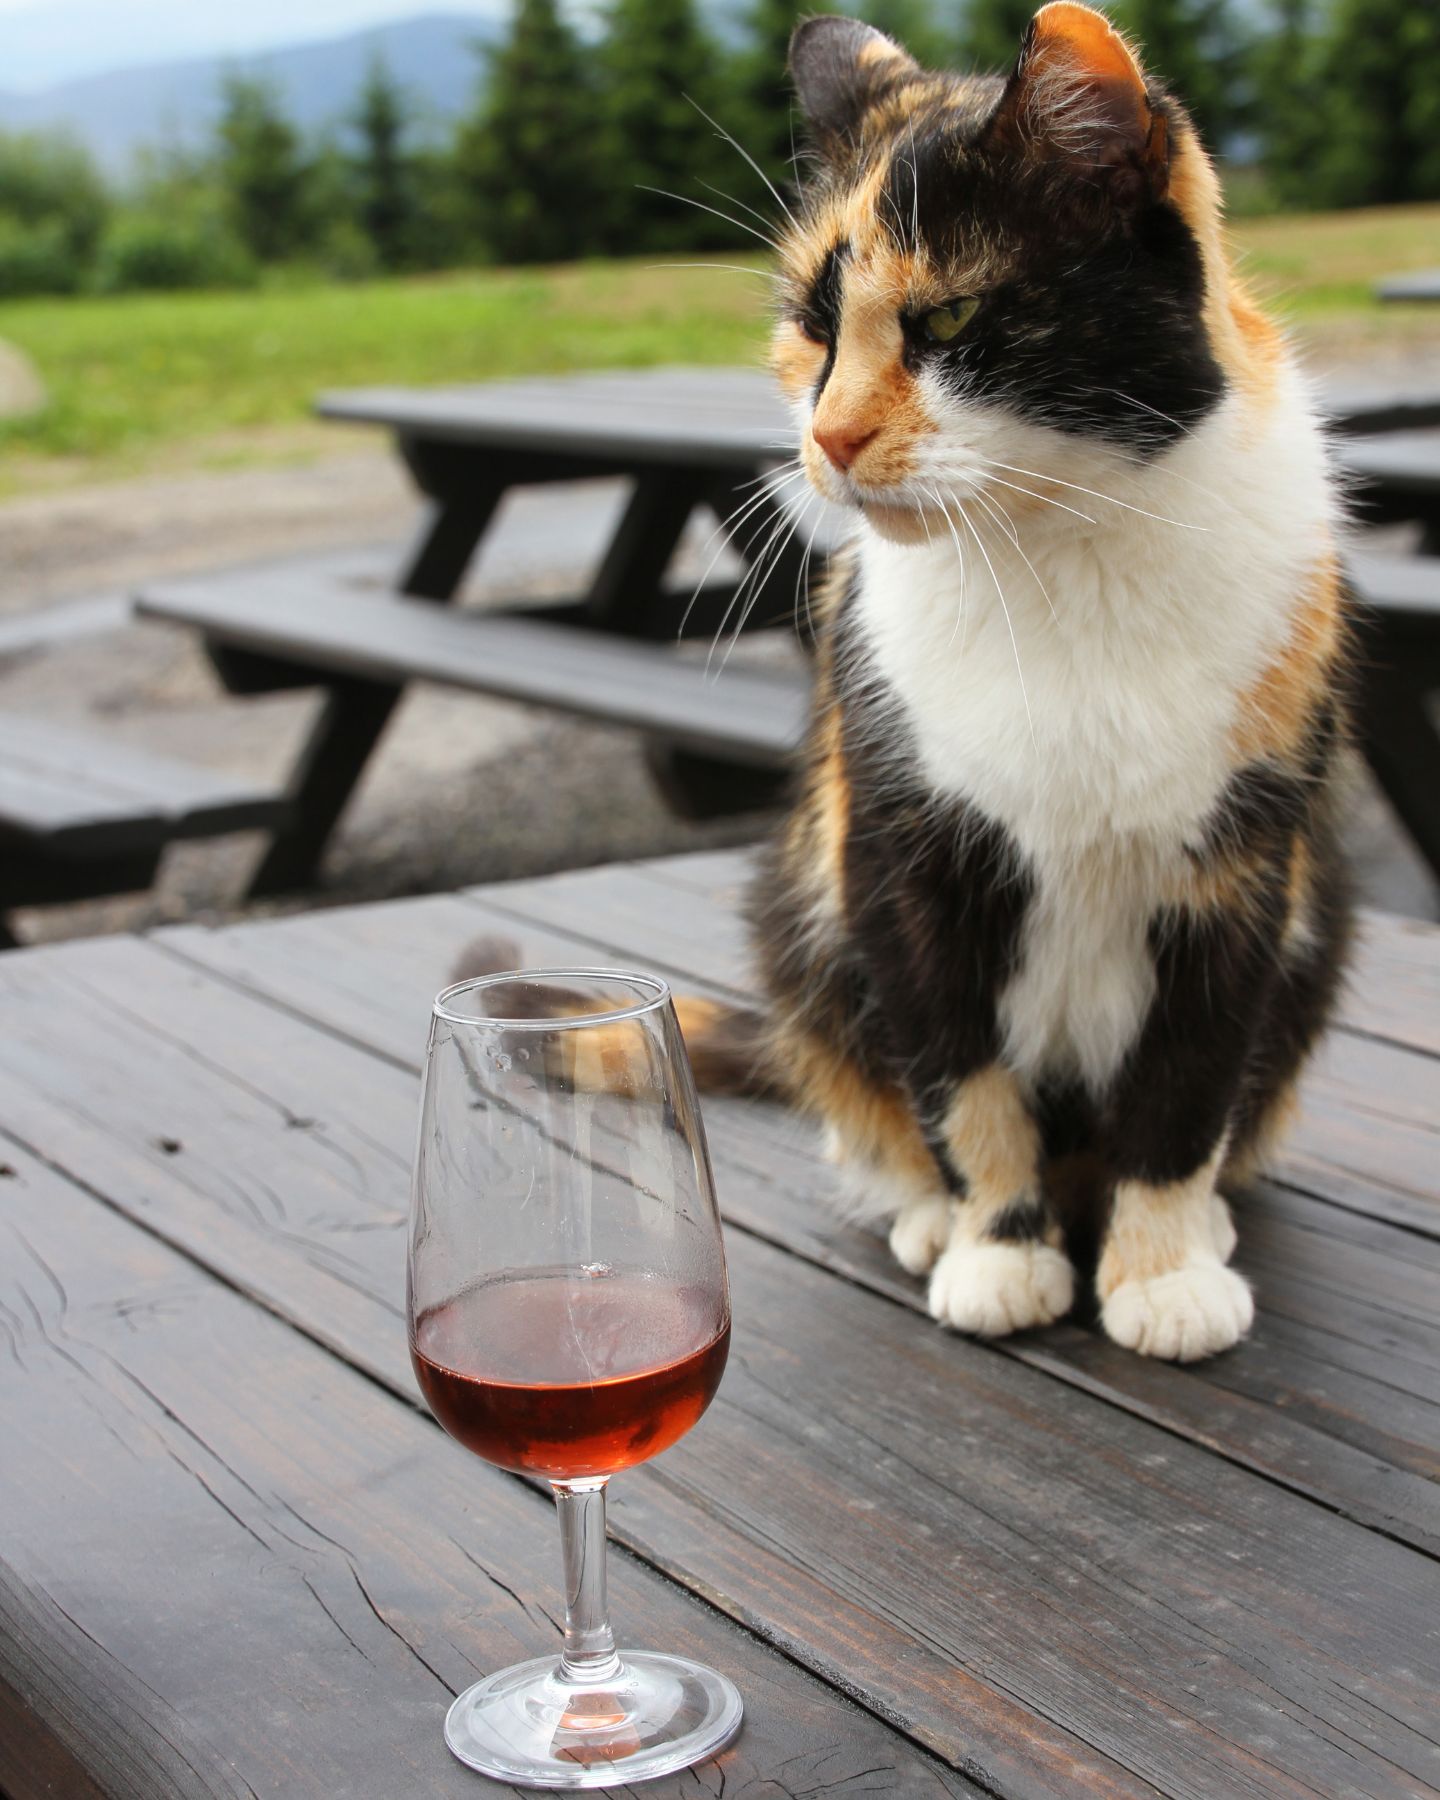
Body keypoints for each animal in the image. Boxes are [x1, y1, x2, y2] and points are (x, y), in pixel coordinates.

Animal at [727, 3, 1353, 1360]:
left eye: (953, 321)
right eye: (814, 326)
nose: (828, 439)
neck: (1057, 555)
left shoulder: (1243, 876)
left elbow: (1185, 1088)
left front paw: (1163, 1272)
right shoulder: (899, 855)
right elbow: (962, 1085)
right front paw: (997, 1255)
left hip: (1320, 915)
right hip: (800, 913)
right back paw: (925, 1218)